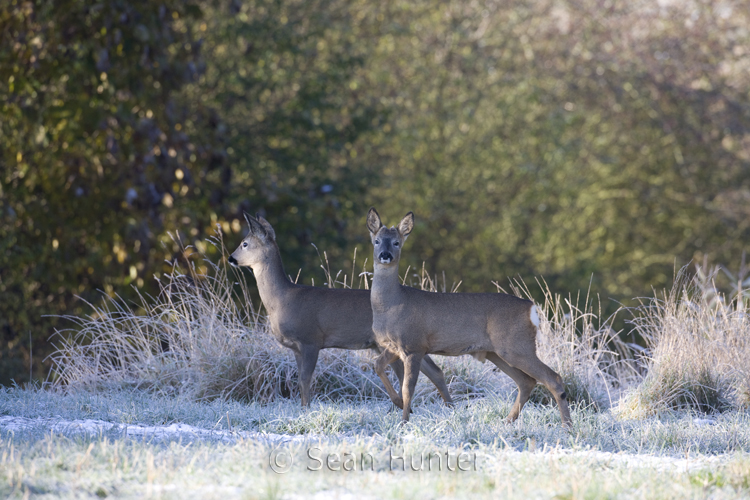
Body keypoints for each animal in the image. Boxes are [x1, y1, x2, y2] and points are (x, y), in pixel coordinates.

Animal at [228, 213, 452, 408]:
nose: (231, 258)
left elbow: (305, 379)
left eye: (245, 243)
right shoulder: (296, 347)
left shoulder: (311, 339)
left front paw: (306, 410)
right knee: (432, 371)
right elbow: (300, 379)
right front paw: (303, 408)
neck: (282, 299)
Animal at [368, 207, 572, 426]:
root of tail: (531, 309)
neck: (392, 305)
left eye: (396, 242)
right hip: (496, 352)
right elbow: (377, 365)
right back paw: (508, 421)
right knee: (526, 381)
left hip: (517, 346)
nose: (385, 255)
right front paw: (398, 405)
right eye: (377, 241)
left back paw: (566, 426)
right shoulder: (394, 345)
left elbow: (408, 388)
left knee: (552, 378)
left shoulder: (413, 345)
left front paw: (404, 422)